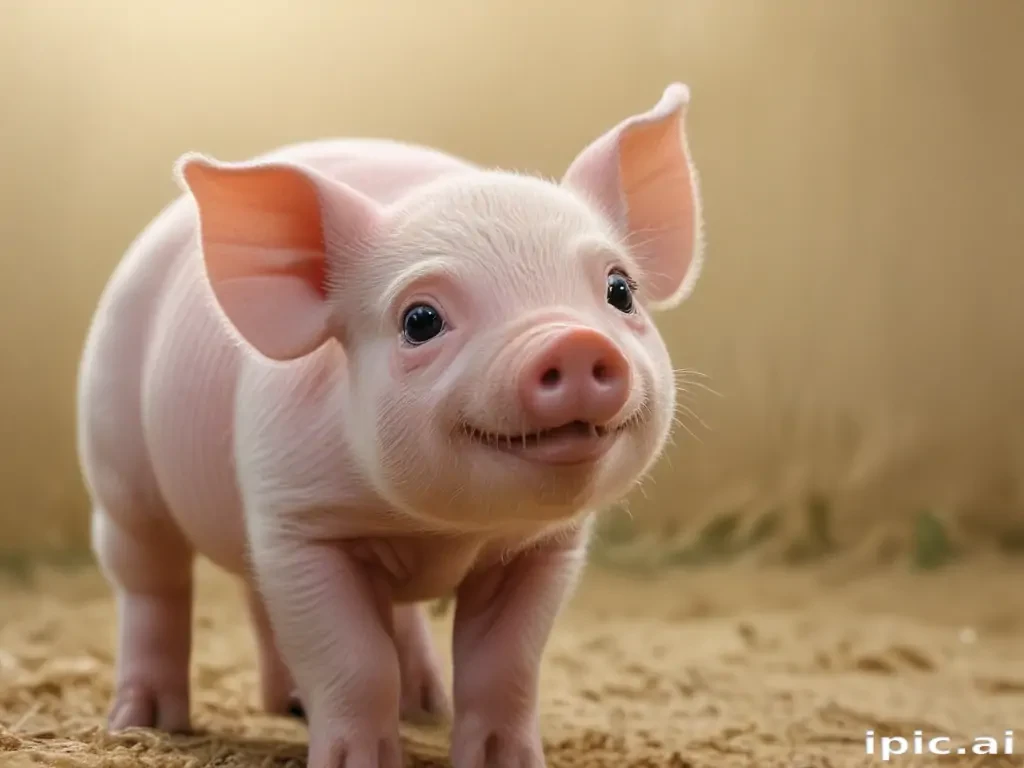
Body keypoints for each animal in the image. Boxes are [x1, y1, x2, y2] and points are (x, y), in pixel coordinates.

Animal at [76, 82, 704, 768]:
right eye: (420, 320)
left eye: (620, 291)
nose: (572, 340)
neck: (441, 531)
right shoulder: (298, 522)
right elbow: (354, 660)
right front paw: (361, 763)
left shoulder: (546, 546)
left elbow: (506, 664)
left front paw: (502, 760)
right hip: (117, 463)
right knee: (151, 582)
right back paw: (146, 724)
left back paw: (401, 705)